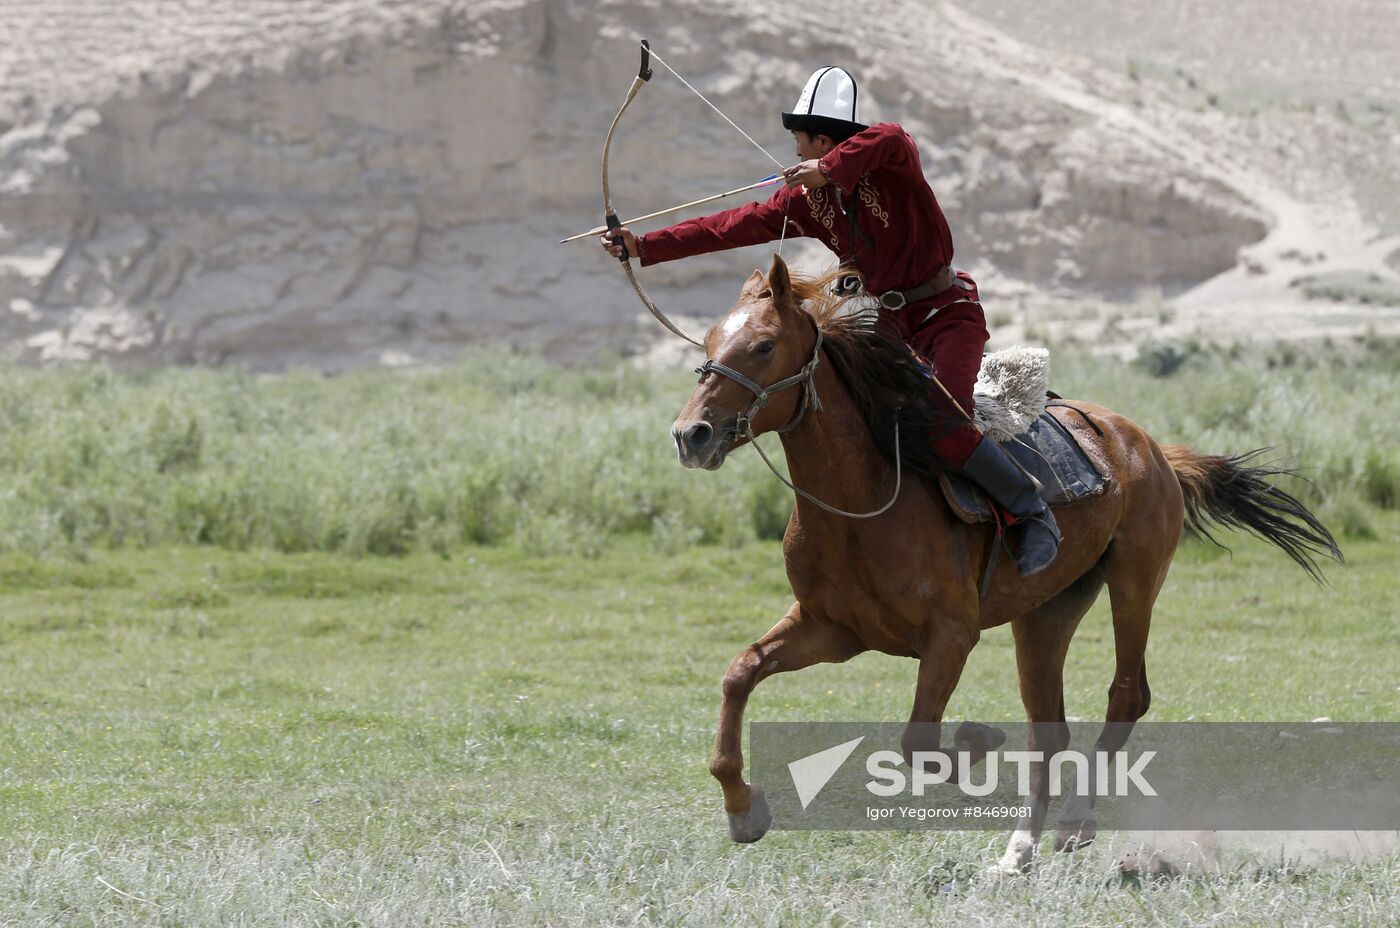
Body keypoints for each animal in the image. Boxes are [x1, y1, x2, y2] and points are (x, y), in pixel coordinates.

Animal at [672, 251, 1338, 873]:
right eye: (708, 342)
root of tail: (1149, 447)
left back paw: (1073, 821)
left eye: (763, 346)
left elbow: (919, 739)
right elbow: (740, 673)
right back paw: (1020, 849)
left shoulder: (951, 635)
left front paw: (977, 739)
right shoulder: (832, 631)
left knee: (1126, 696)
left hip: (1135, 582)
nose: (691, 435)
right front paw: (743, 808)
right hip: (1044, 615)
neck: (860, 505)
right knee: (1050, 727)